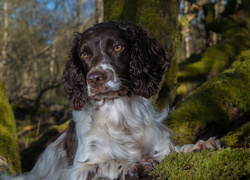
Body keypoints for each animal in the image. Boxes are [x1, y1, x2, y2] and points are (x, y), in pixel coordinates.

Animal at [1, 20, 221, 179]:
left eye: (117, 47)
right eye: (84, 54)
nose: (95, 79)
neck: (120, 112)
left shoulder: (160, 144)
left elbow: (173, 150)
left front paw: (199, 145)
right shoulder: (78, 170)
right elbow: (108, 163)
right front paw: (135, 165)